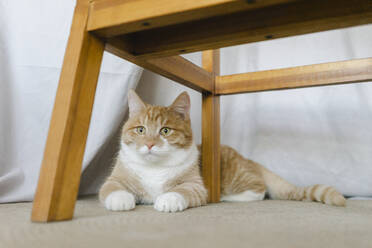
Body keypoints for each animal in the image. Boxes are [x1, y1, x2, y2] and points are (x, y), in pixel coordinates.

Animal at [99, 90, 346, 212]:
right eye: (140, 129)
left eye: (165, 131)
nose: (150, 144)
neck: (154, 169)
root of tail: (250, 160)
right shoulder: (115, 179)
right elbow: (111, 188)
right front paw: (121, 199)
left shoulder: (196, 186)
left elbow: (181, 191)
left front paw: (167, 199)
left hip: (236, 178)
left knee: (259, 189)